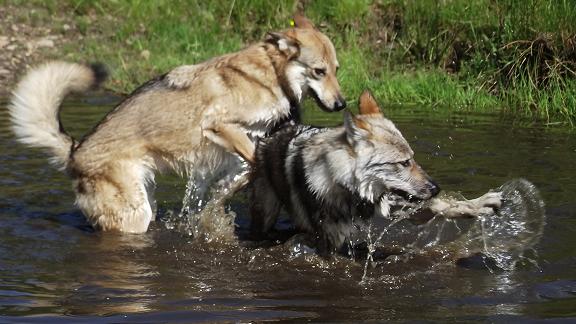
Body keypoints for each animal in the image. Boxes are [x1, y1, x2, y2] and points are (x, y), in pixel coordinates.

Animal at [7, 14, 342, 233]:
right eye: (319, 71)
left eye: (337, 70)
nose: (341, 105)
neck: (271, 74)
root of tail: (74, 151)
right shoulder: (218, 125)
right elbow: (253, 160)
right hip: (135, 216)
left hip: (147, 201)